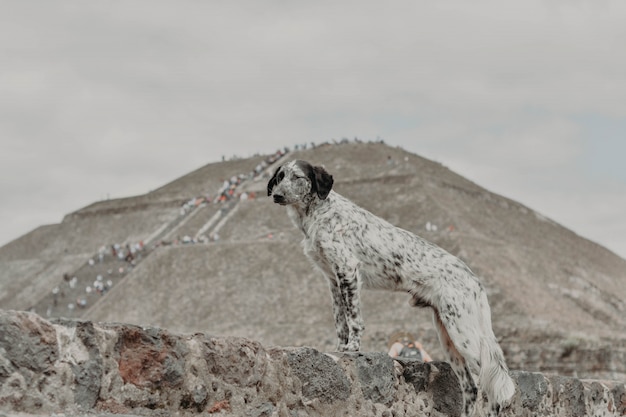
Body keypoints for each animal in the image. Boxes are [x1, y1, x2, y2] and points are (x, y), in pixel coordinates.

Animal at [266, 160, 516, 416]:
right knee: (471, 387)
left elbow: (353, 320)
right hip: (449, 338)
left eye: (298, 177)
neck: (319, 213)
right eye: (280, 176)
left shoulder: (348, 270)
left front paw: (352, 348)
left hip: (463, 334)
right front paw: (339, 348)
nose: (277, 195)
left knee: (491, 384)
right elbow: (340, 323)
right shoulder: (333, 280)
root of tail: (474, 279)